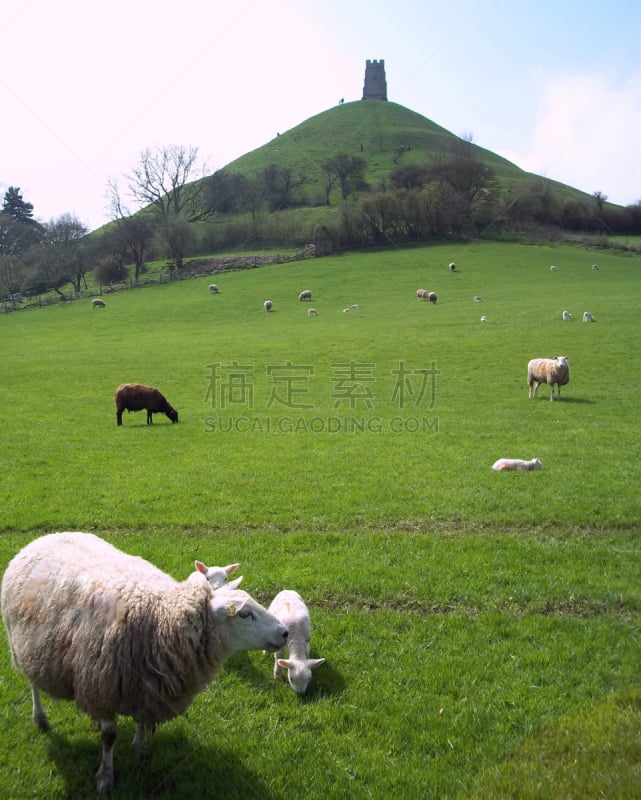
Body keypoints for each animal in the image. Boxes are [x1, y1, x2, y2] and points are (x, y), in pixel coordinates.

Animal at [0, 532, 284, 792]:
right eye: (245, 614)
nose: (284, 632)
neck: (160, 618)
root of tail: (49, 535)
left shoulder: (146, 683)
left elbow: (143, 719)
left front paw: (141, 747)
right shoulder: (102, 687)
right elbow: (109, 737)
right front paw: (105, 777)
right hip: (22, 645)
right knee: (33, 684)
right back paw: (40, 718)